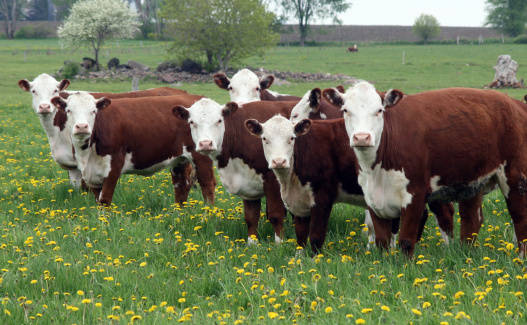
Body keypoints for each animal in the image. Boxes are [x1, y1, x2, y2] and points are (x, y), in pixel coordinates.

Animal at [48, 92, 216, 206]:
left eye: (93, 111)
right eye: (69, 110)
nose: (82, 126)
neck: (86, 153)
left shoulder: (113, 167)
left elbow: (105, 200)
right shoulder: (91, 174)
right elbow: (97, 200)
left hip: (202, 155)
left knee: (207, 184)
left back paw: (208, 214)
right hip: (179, 159)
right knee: (181, 186)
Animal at [172, 98, 302, 243]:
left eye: (219, 120)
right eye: (192, 122)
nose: (205, 144)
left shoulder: (273, 179)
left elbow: (275, 215)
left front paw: (280, 243)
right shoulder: (248, 185)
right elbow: (251, 217)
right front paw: (252, 243)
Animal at [245, 115, 456, 254]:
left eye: (292, 138)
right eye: (264, 139)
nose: (279, 161)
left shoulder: (323, 197)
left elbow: (315, 236)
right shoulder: (299, 200)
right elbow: (301, 235)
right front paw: (298, 259)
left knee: (444, 214)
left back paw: (448, 249)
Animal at [322, 82, 527, 256]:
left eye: (379, 110)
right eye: (345, 110)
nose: (362, 137)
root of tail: (515, 103)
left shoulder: (415, 195)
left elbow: (406, 240)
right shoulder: (372, 198)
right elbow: (381, 240)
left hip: (515, 177)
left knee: (519, 218)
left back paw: (520, 258)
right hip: (473, 182)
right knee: (471, 221)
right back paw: (464, 255)